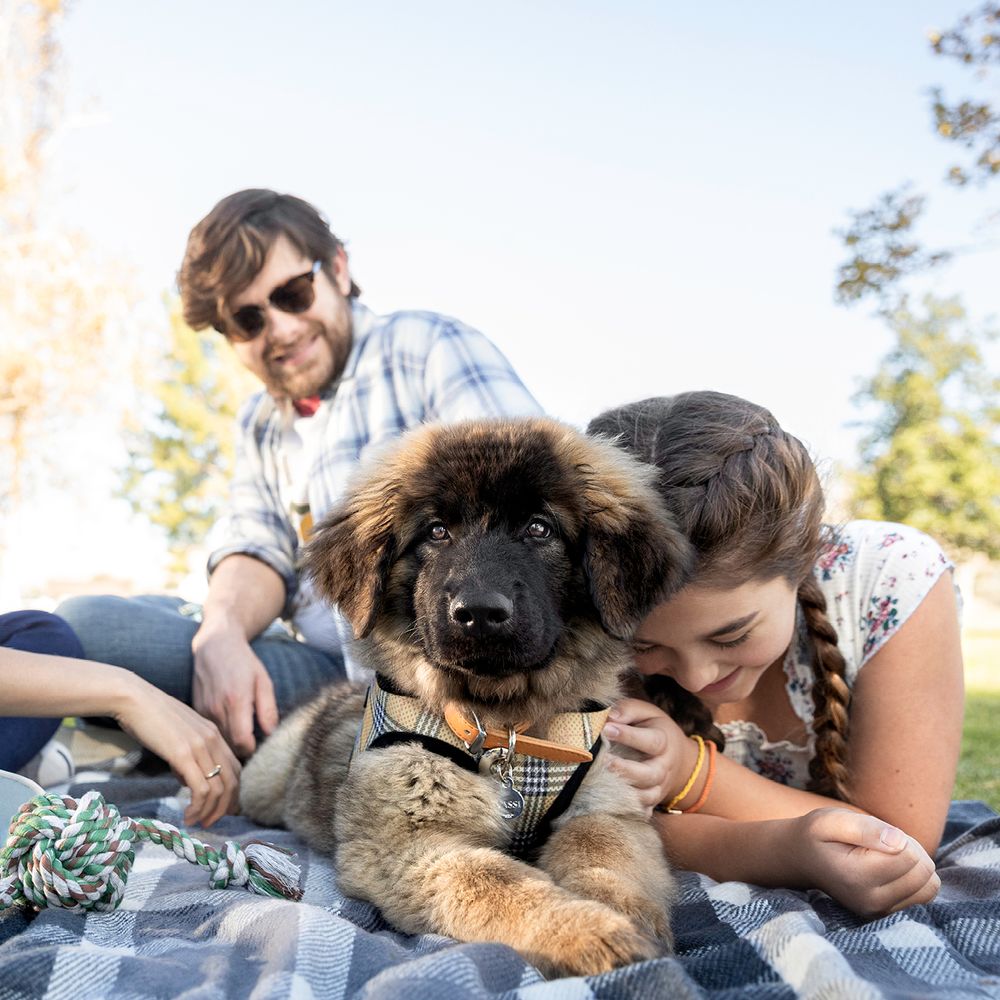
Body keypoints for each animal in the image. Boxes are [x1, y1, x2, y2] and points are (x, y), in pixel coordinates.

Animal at [240, 417, 692, 977]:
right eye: (436, 531)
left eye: (539, 528)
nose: (478, 613)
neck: (506, 728)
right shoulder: (407, 843)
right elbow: (495, 884)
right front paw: (586, 932)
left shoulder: (606, 805)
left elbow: (602, 854)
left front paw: (624, 912)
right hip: (262, 786)